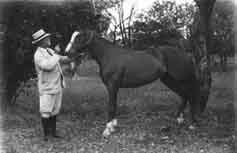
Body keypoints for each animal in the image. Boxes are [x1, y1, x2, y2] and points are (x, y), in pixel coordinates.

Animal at [65, 29, 210, 136]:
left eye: (79, 38)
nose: (67, 52)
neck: (108, 55)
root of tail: (186, 54)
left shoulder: (112, 86)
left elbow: (111, 106)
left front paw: (107, 130)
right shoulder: (114, 88)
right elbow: (114, 105)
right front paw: (113, 126)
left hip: (183, 79)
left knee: (192, 96)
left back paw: (192, 124)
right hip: (169, 80)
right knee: (185, 95)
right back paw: (179, 119)